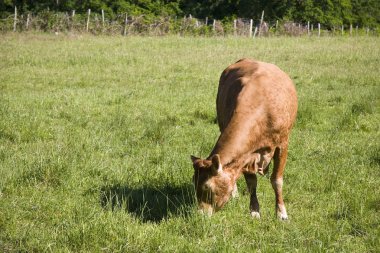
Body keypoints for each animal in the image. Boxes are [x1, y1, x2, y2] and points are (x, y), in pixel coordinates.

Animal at [191, 57, 298, 219]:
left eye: (207, 187)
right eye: (194, 182)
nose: (200, 215)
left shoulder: (282, 144)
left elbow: (277, 180)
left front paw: (281, 213)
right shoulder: (247, 154)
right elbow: (251, 182)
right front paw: (254, 211)